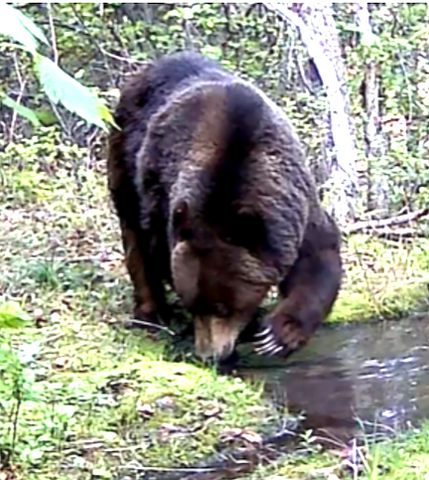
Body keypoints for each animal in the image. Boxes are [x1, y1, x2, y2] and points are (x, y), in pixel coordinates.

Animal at [107, 49, 342, 364]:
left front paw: (276, 334)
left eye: (222, 307)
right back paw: (151, 312)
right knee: (135, 236)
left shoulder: (295, 206)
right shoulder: (164, 200)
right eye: (194, 305)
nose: (208, 356)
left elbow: (317, 257)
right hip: (124, 158)